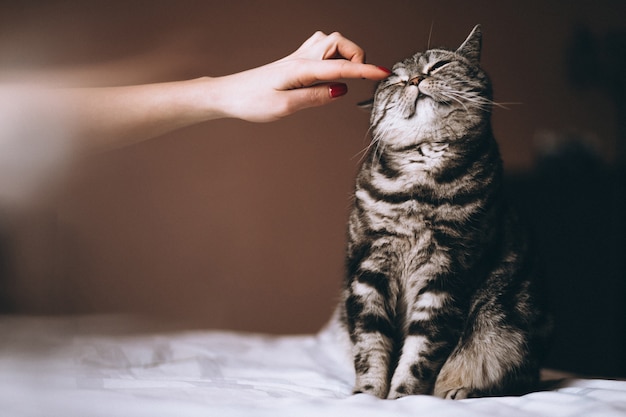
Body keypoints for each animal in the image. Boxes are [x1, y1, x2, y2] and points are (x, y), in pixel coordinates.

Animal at [336, 26, 552, 400]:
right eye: (396, 80)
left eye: (438, 65)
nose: (415, 79)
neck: (419, 192)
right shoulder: (369, 267)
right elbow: (369, 344)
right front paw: (367, 395)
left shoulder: (447, 273)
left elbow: (420, 352)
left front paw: (402, 397)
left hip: (506, 333)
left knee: (512, 380)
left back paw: (460, 391)